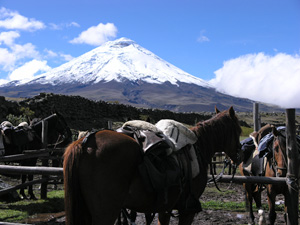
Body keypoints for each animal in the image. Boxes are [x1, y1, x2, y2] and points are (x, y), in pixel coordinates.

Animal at [63, 107, 241, 225]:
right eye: (239, 130)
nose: (238, 157)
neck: (200, 147)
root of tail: (84, 143)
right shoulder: (188, 210)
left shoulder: (165, 208)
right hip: (105, 213)